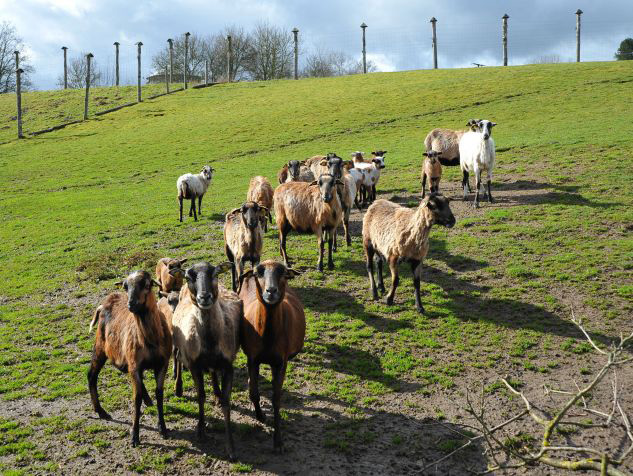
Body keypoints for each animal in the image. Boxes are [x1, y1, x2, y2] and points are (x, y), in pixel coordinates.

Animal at [87, 272, 170, 446]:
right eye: (125, 286)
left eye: (147, 284)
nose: (131, 304)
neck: (150, 340)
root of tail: (104, 303)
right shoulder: (135, 365)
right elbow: (136, 398)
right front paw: (135, 435)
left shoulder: (162, 363)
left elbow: (159, 393)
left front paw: (163, 427)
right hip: (100, 345)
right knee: (91, 375)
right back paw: (100, 411)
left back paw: (148, 400)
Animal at [170, 262, 242, 460]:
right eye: (188, 277)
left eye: (215, 273)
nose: (204, 297)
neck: (210, 340)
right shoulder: (195, 366)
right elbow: (200, 396)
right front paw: (200, 430)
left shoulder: (228, 366)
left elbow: (226, 402)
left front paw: (231, 446)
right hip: (179, 345)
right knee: (178, 357)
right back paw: (178, 387)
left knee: (213, 372)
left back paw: (216, 392)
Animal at [238, 260, 304, 454]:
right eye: (258, 273)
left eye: (282, 272)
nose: (271, 291)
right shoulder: (252, 359)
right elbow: (254, 393)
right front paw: (260, 416)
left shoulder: (280, 363)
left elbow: (276, 399)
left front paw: (278, 442)